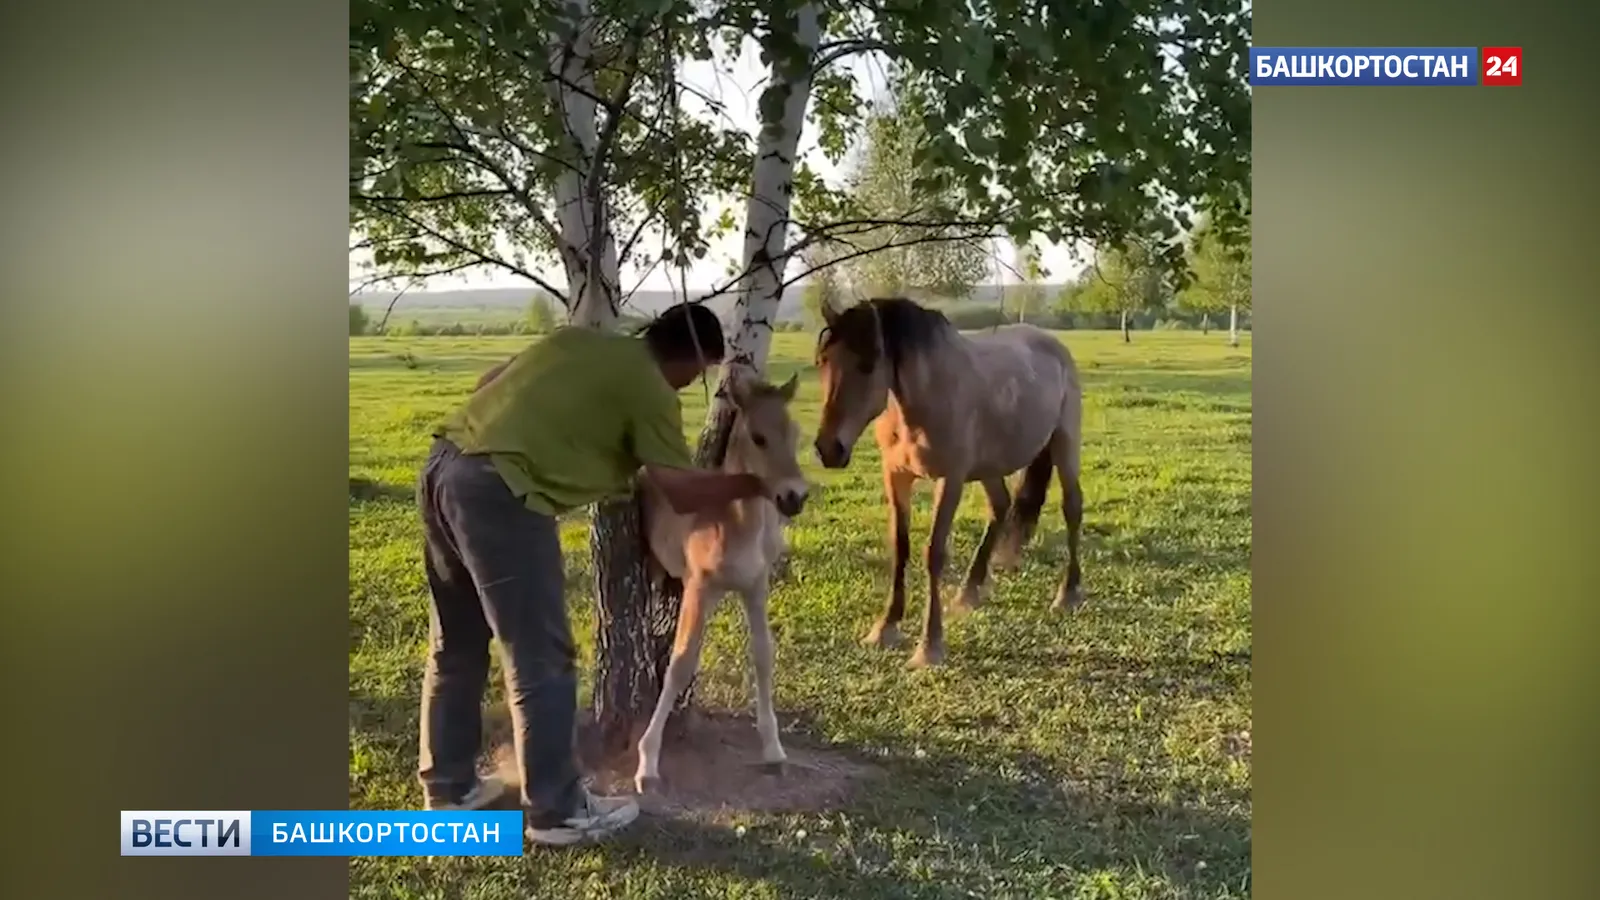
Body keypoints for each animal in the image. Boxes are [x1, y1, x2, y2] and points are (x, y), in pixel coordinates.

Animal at [634, 372, 810, 793]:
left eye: (795, 432)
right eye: (759, 437)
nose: (795, 497)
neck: (737, 524)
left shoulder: (756, 586)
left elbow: (763, 655)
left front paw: (773, 749)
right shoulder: (700, 588)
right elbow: (680, 663)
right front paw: (647, 761)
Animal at [811, 296, 1085, 668]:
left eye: (867, 365)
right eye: (823, 362)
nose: (829, 449)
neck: (927, 397)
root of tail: (1054, 345)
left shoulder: (951, 479)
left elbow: (933, 553)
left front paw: (929, 646)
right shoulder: (895, 476)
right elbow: (900, 547)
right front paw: (885, 627)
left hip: (1064, 444)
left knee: (1072, 507)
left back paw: (1067, 594)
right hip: (989, 466)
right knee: (1000, 508)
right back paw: (968, 593)